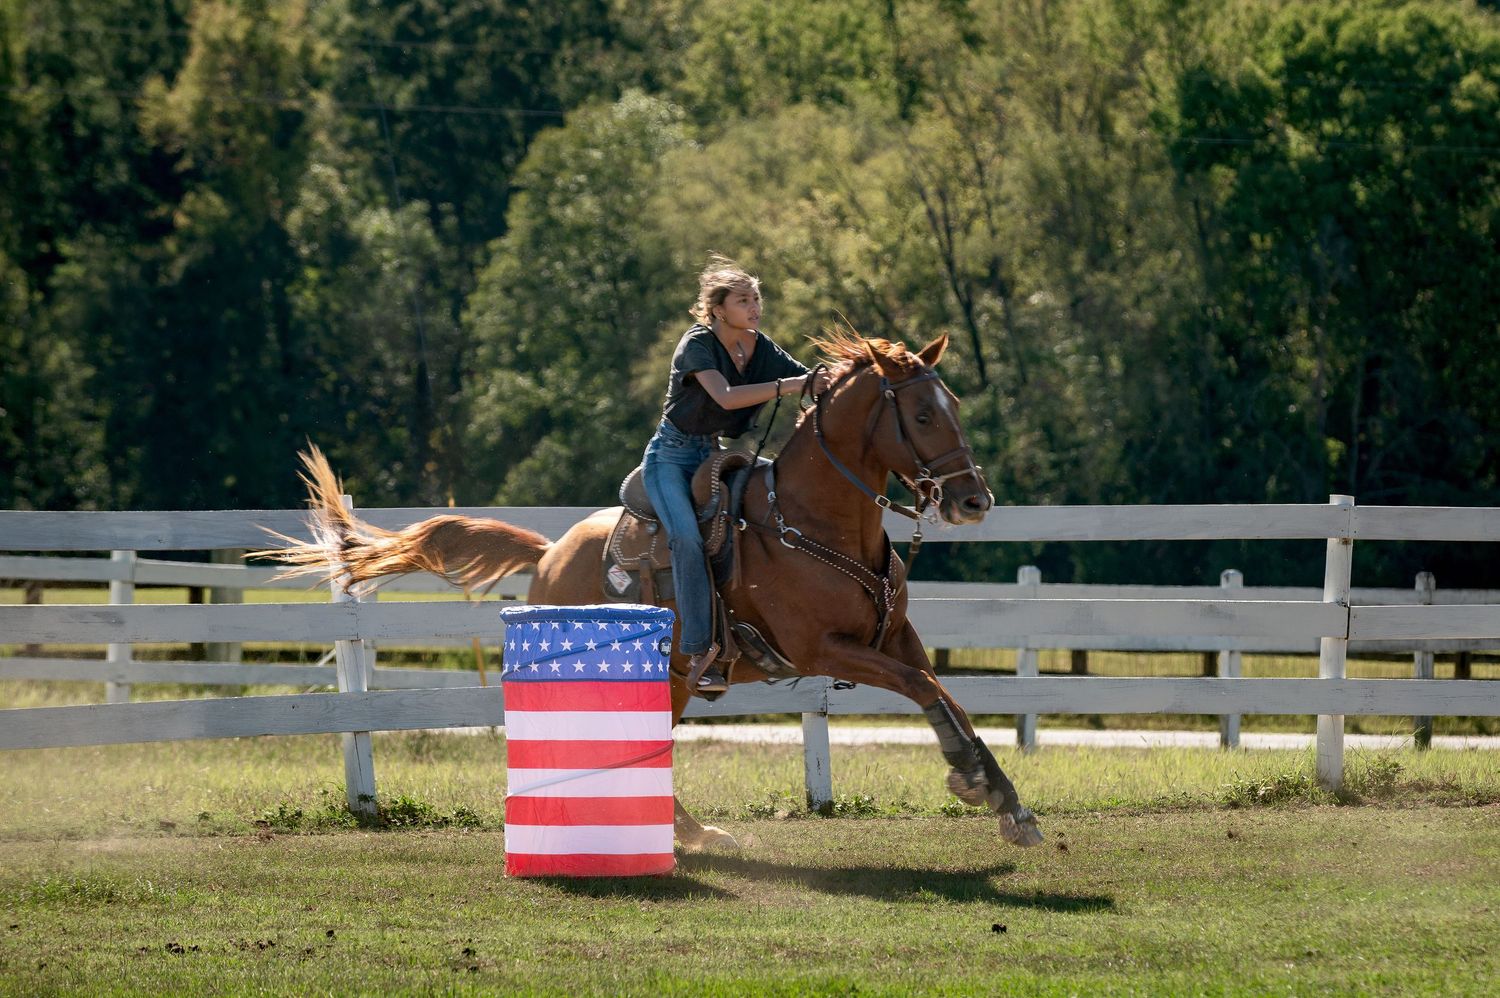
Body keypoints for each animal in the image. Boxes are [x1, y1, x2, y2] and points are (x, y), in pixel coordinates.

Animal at [266, 329, 1043, 849]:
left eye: (954, 404)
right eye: (922, 415)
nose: (974, 499)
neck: (812, 520)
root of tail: (549, 555)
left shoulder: (894, 635)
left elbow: (941, 688)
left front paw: (1006, 800)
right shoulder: (824, 649)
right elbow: (924, 688)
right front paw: (972, 779)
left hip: (668, 677)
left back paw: (690, 832)